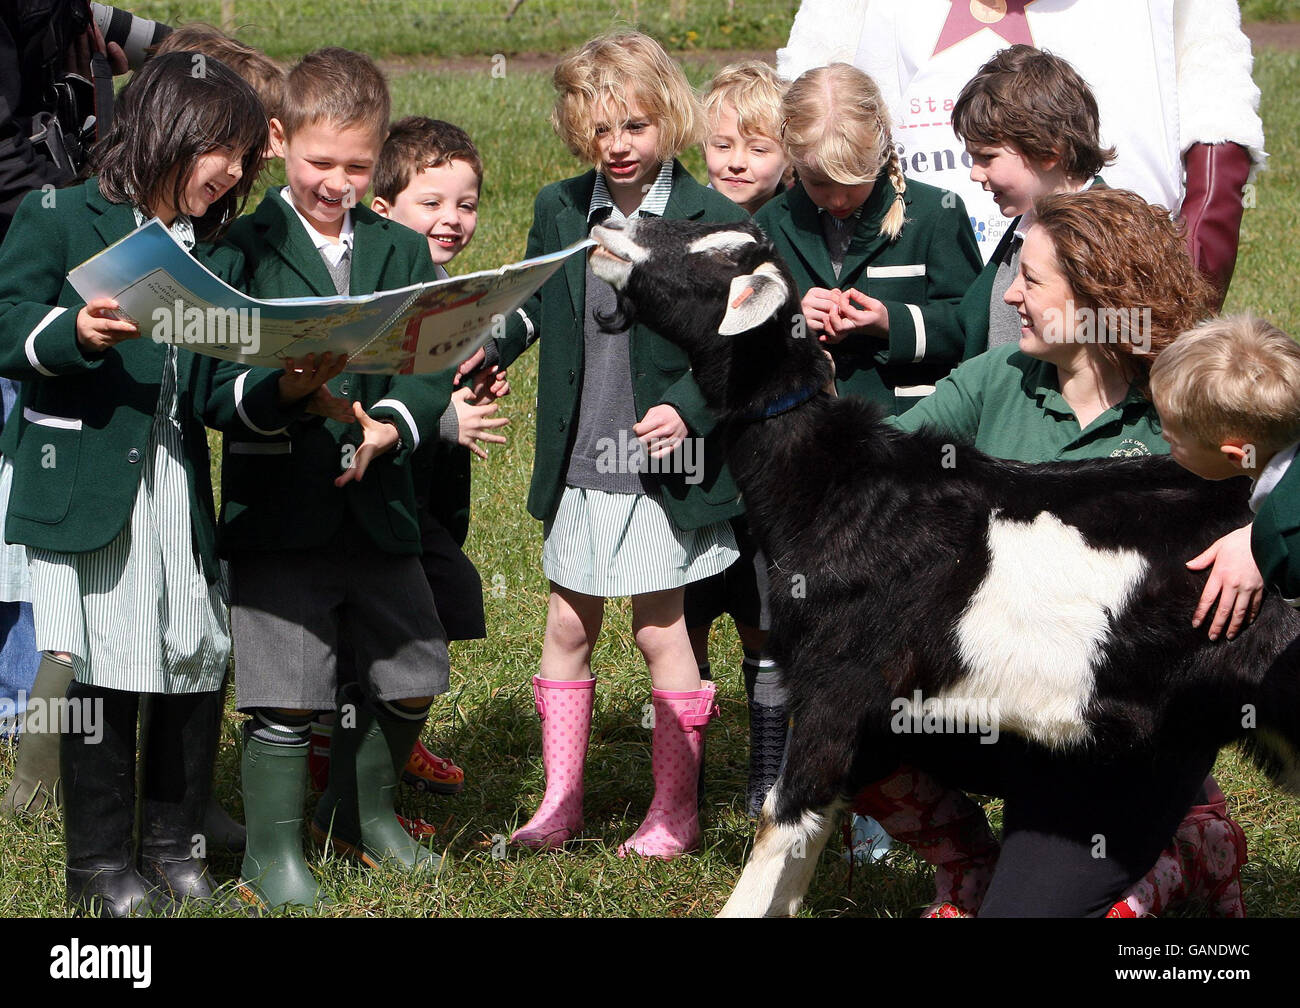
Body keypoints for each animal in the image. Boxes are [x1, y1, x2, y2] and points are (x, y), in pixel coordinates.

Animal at [587, 217, 1300, 920]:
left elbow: (782, 816)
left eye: (710, 259)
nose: (610, 223)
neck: (837, 487)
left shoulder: (838, 678)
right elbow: (813, 826)